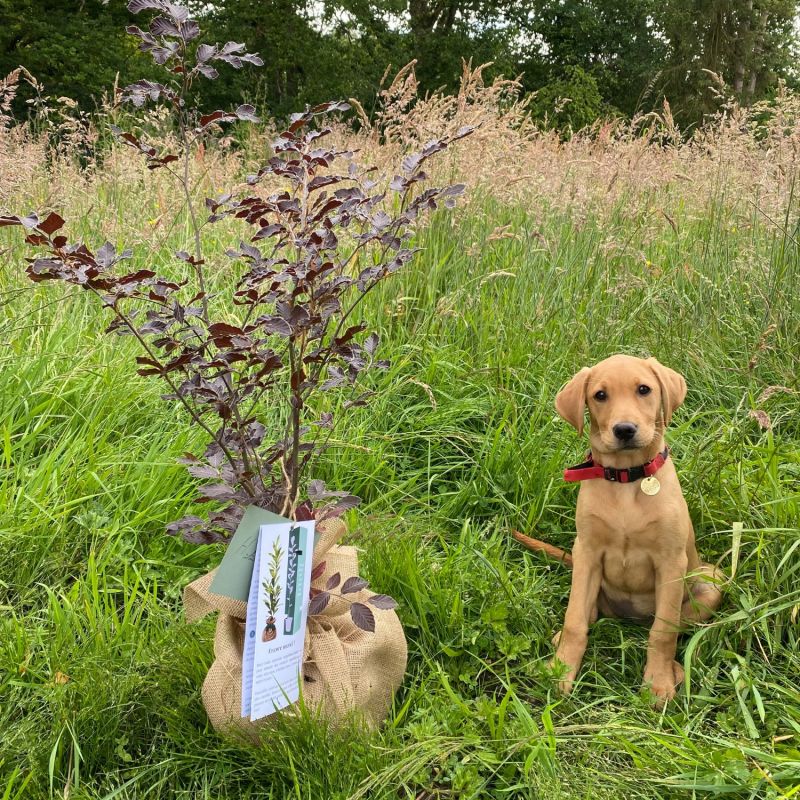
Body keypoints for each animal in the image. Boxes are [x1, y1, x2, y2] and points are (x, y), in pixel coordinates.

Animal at [552, 354, 720, 704]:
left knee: (671, 624)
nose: (625, 430)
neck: (627, 478)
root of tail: (630, 618)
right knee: (589, 613)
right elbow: (574, 620)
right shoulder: (586, 552)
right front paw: (561, 670)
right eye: (600, 395)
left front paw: (658, 682)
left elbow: (663, 631)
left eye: (644, 389)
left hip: (711, 580)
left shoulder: (671, 561)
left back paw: (675, 668)